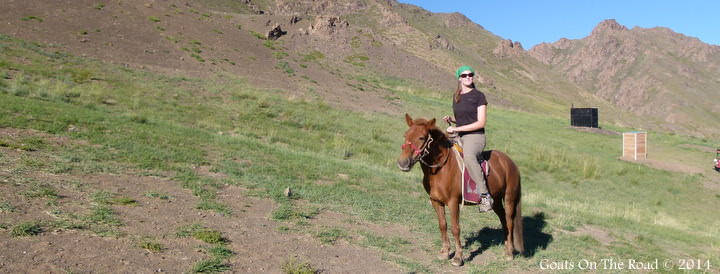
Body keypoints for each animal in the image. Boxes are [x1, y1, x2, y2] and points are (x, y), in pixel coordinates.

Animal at [394, 113, 524, 266]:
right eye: (406, 135)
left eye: (421, 137)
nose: (403, 162)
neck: (441, 169)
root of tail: (510, 162)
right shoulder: (436, 201)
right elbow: (442, 225)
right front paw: (444, 253)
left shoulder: (453, 202)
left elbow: (455, 228)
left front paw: (458, 257)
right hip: (496, 201)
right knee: (503, 221)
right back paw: (506, 247)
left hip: (509, 198)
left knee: (509, 222)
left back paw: (509, 253)